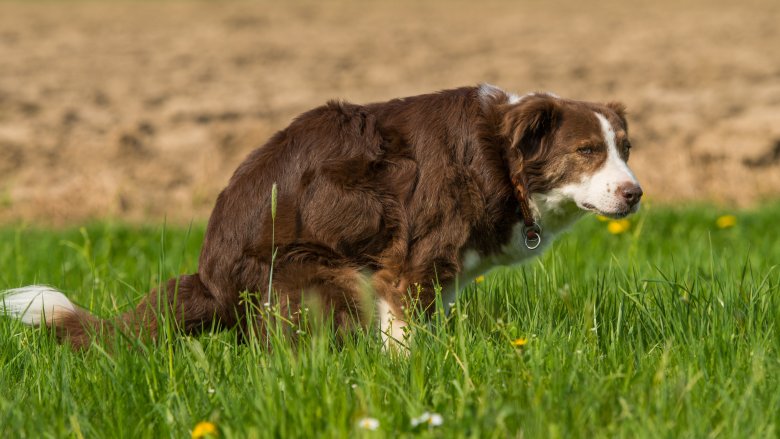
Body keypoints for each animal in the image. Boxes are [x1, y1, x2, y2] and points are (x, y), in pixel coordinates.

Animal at [3, 83, 644, 350]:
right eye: (587, 151)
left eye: (626, 148)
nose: (635, 194)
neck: (502, 159)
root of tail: (209, 279)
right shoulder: (410, 264)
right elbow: (404, 338)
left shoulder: (439, 276)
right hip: (322, 271)